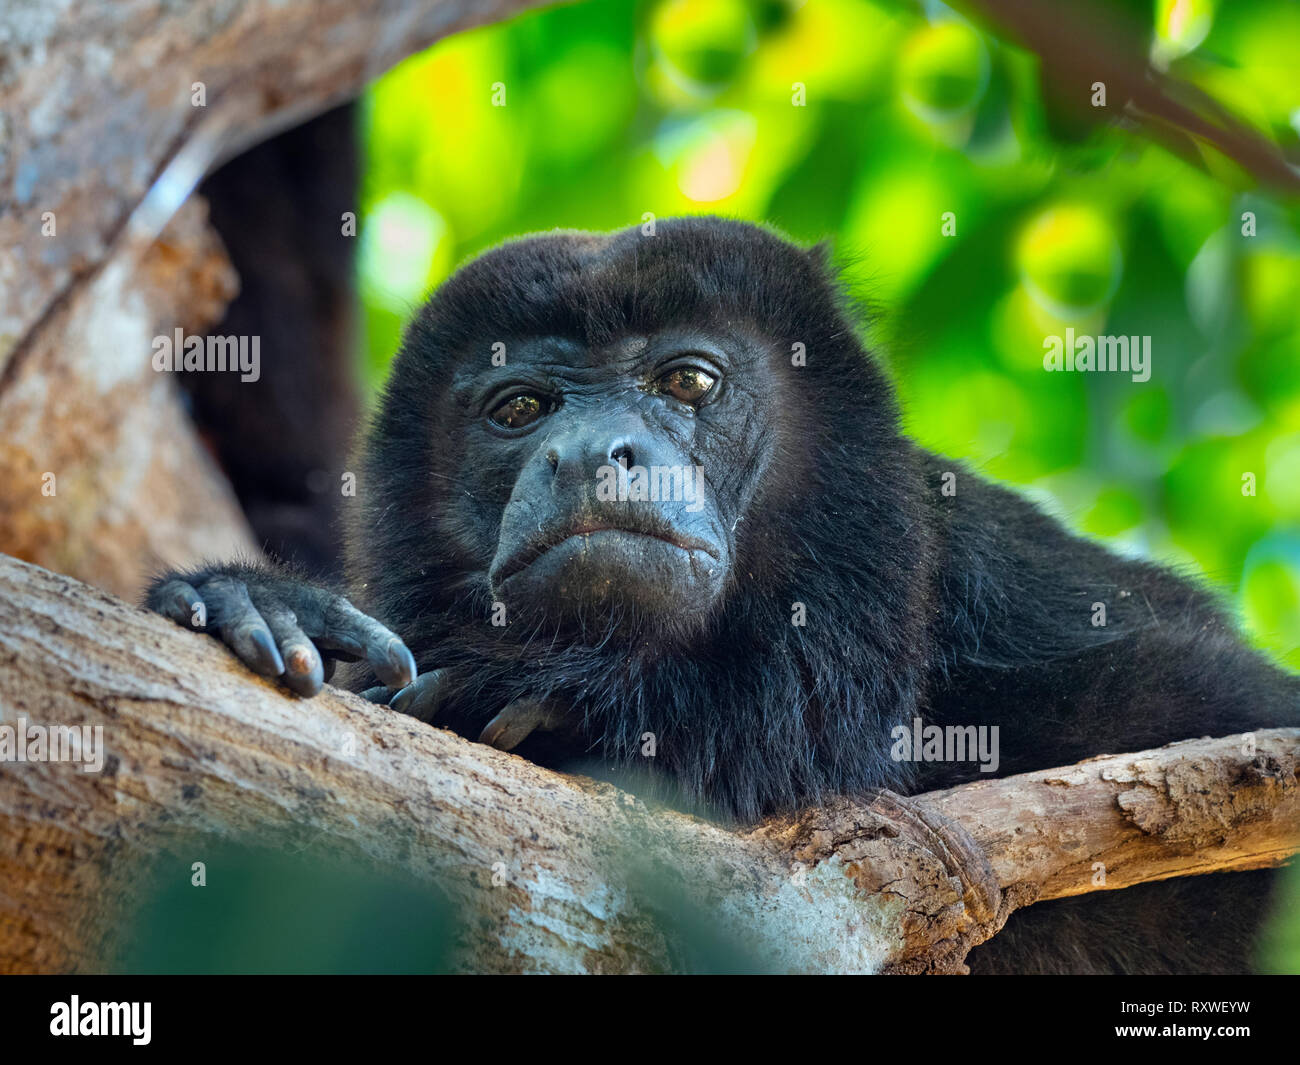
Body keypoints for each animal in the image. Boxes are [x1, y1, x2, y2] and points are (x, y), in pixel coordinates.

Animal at [148, 216, 1299, 974]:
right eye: (520, 409)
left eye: (688, 383)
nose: (589, 452)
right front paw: (260, 604)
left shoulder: (1007, 594)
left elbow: (1209, 717)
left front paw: (569, 707)